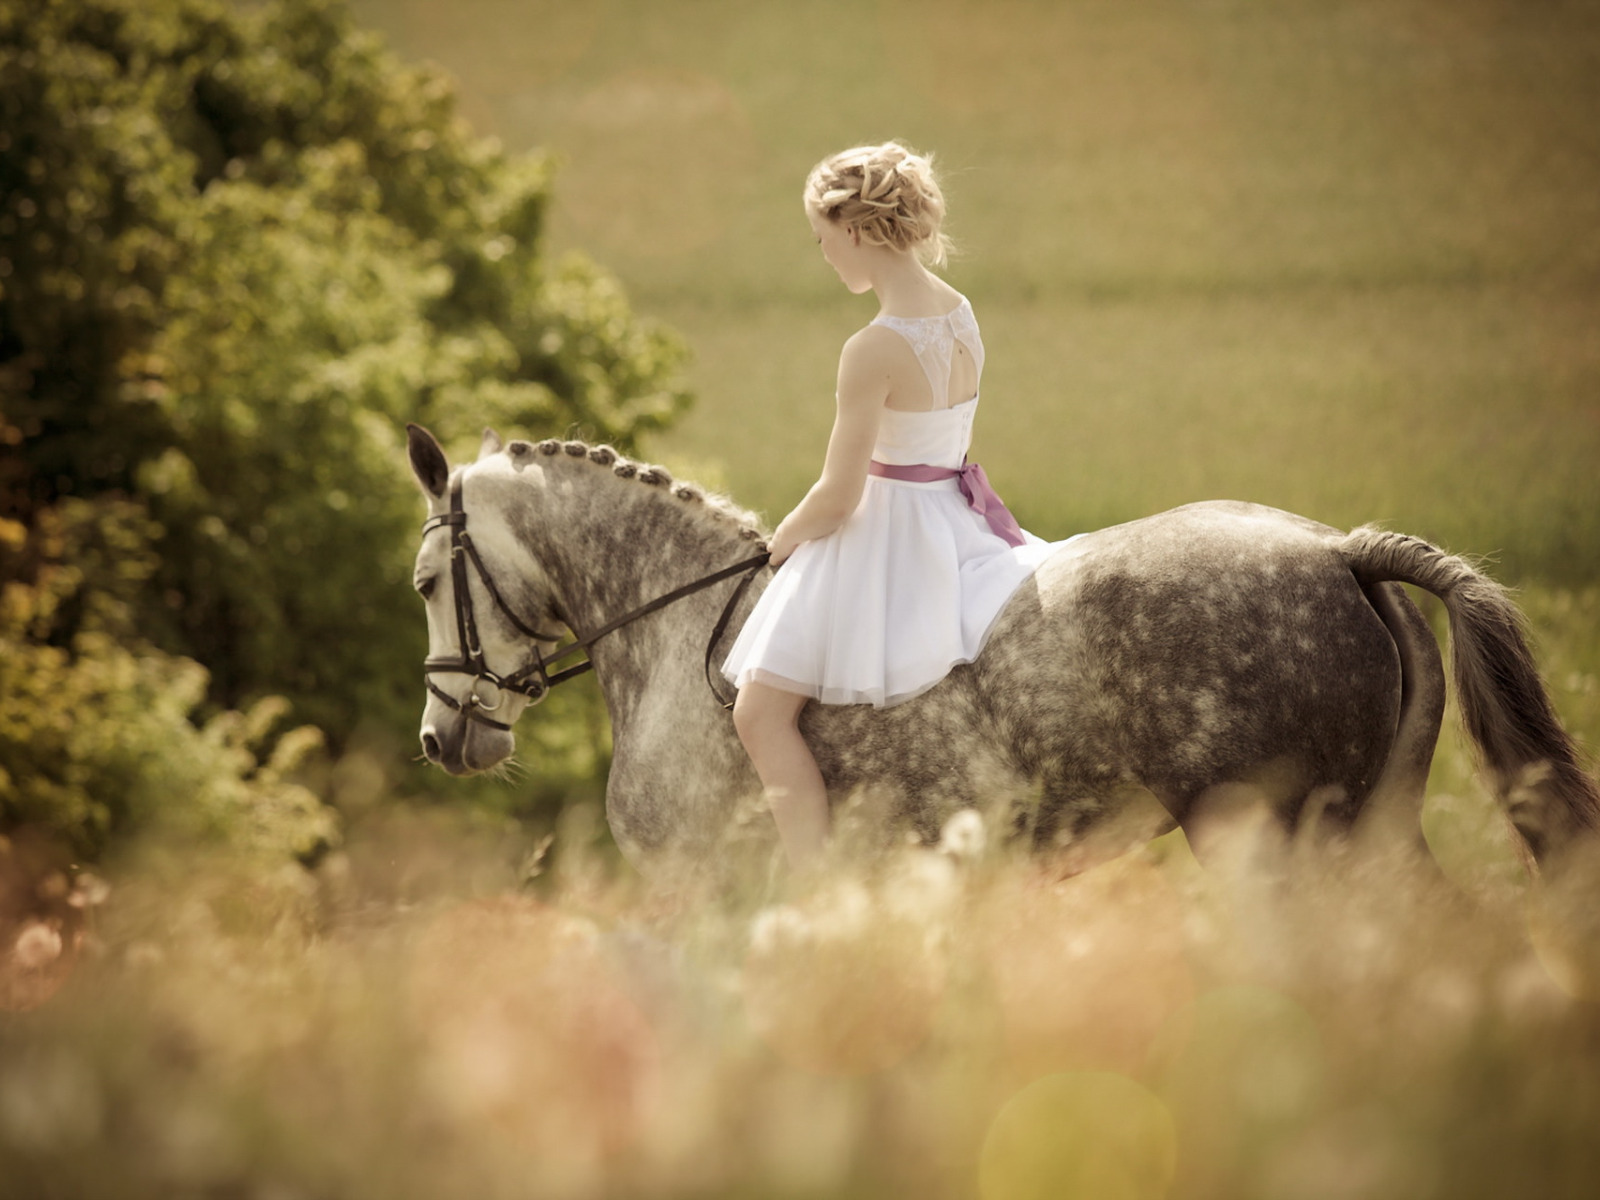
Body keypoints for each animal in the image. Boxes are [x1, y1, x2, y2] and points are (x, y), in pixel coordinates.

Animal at [406, 428, 1593, 876]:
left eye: (423, 584)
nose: (439, 738)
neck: (668, 622)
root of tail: (1338, 550)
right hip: (1371, 827)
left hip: (1273, 838)